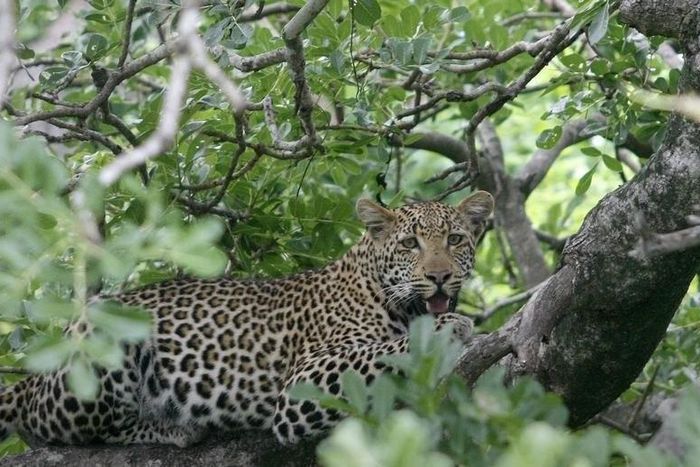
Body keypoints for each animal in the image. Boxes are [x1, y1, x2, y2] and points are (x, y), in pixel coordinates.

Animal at [0, 191, 493, 448]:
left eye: (454, 240)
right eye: (410, 244)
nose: (439, 276)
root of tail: (33, 376)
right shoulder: (302, 384)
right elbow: (382, 351)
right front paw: (451, 330)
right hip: (102, 345)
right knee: (80, 428)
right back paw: (174, 427)